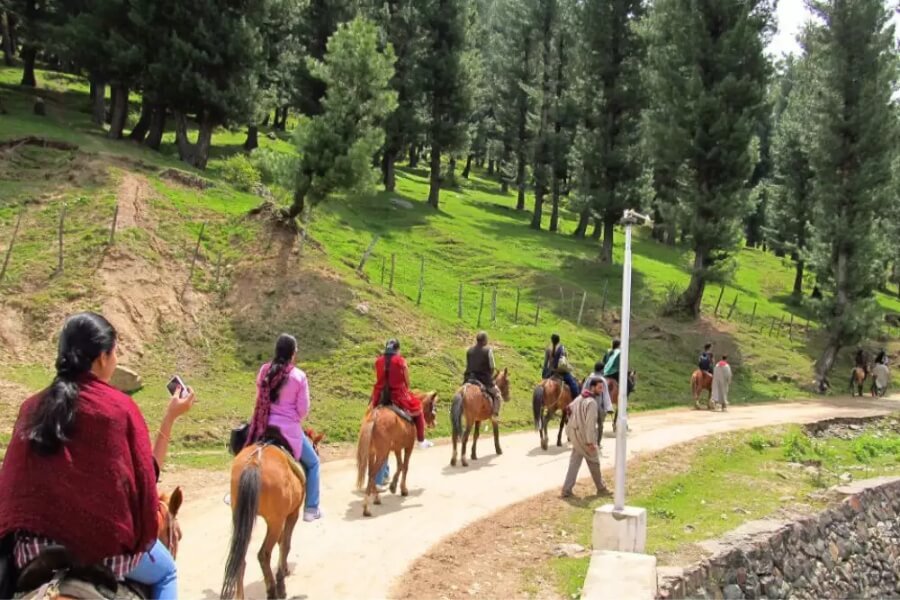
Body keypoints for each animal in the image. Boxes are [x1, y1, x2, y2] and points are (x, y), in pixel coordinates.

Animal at [220, 440, 308, 600]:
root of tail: (254, 462)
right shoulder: (292, 514)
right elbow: (285, 544)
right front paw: (281, 580)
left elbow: (282, 542)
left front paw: (284, 569)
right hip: (275, 522)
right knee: (264, 554)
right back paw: (273, 591)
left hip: (242, 519)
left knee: (240, 557)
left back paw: (240, 595)